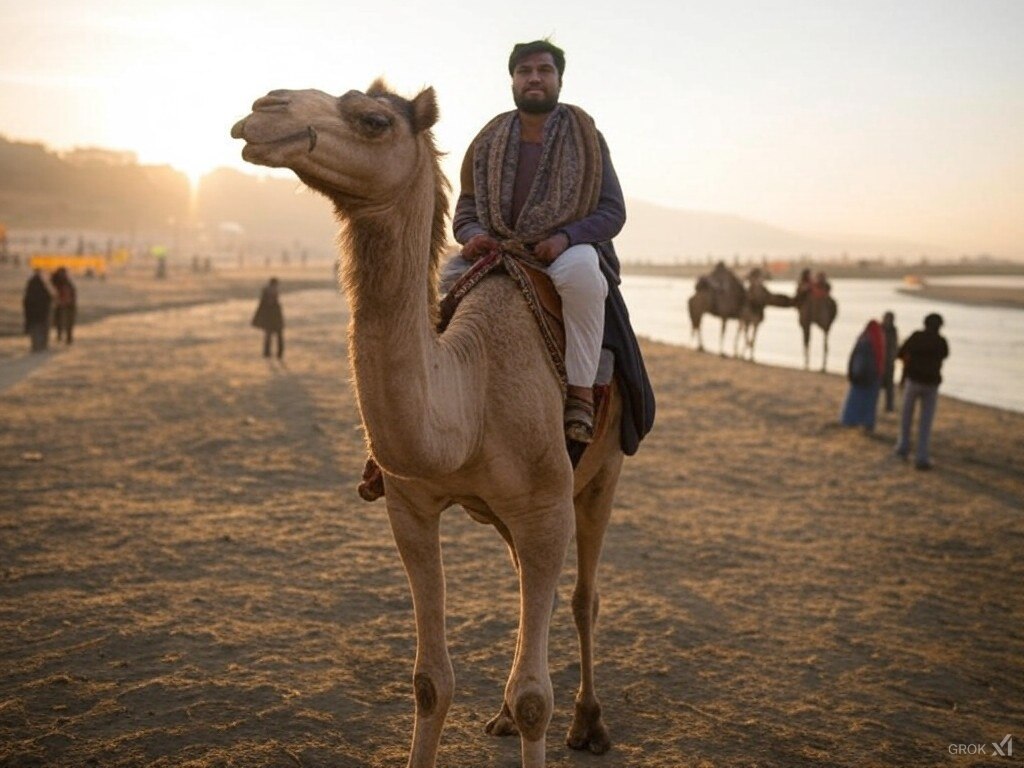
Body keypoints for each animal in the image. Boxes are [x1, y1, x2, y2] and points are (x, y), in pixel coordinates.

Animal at [231, 82, 624, 768]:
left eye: (373, 120)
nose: (265, 106)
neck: (471, 397)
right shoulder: (410, 506)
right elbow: (428, 683)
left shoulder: (546, 506)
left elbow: (535, 698)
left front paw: (545, 714)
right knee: (532, 590)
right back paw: (501, 718)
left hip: (603, 475)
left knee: (583, 599)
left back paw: (589, 723)